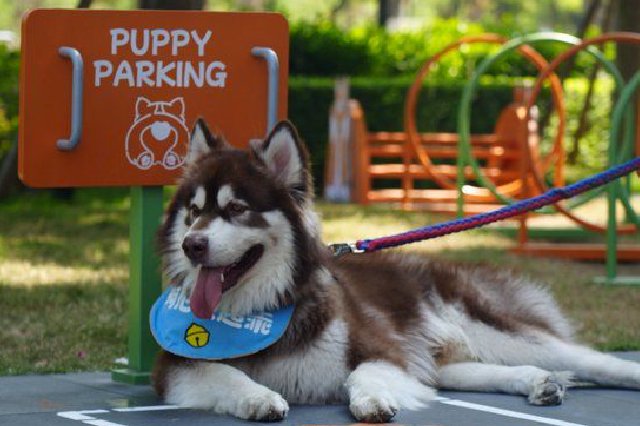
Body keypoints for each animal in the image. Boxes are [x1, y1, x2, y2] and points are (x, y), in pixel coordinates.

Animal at [152, 118, 640, 423]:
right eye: (193, 212)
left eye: (236, 209)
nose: (192, 245)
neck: (254, 313)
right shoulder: (177, 367)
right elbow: (226, 374)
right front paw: (257, 396)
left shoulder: (384, 350)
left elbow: (361, 374)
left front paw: (372, 399)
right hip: (447, 358)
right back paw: (537, 382)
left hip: (492, 327)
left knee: (590, 360)